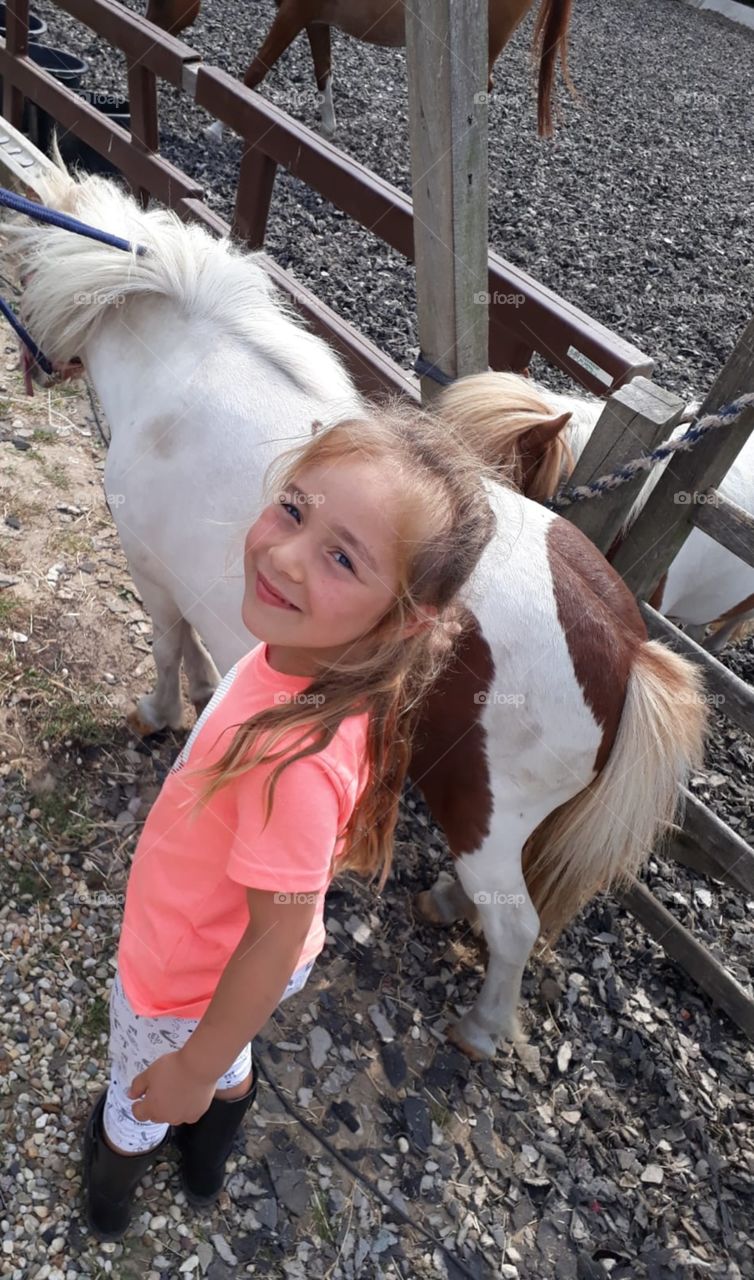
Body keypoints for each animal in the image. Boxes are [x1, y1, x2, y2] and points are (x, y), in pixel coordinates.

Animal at [5, 163, 708, 1061]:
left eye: (23, 271)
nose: (32, 363)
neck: (184, 372)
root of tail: (624, 647)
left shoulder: (150, 571)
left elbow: (164, 648)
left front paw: (157, 713)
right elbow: (201, 651)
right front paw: (201, 698)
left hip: (485, 810)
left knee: (515, 925)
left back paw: (482, 1028)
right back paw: (445, 903)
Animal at [145, 0, 573, 139]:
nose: (144, 38)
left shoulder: (292, 14)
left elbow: (254, 73)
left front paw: (217, 125)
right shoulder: (313, 18)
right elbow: (323, 70)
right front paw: (327, 128)